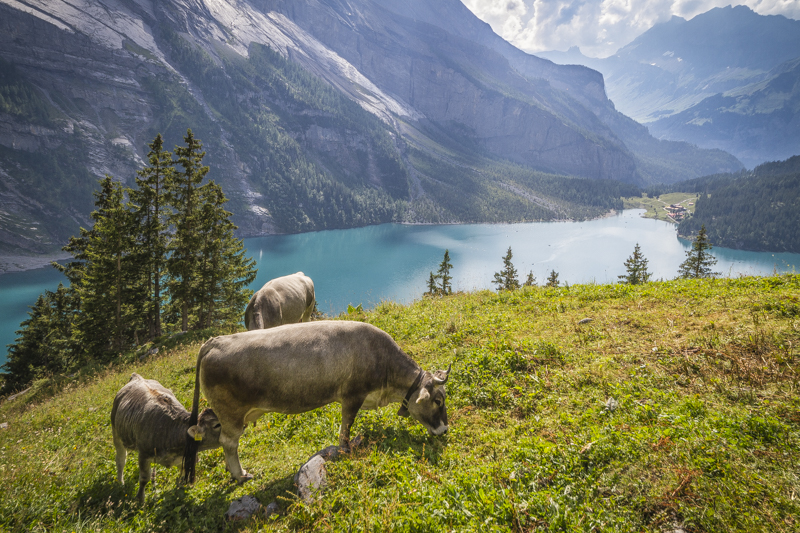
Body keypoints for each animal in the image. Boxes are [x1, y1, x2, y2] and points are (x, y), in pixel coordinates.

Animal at [184, 320, 454, 482]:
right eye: (438, 400)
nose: (444, 430)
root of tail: (215, 341)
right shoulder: (352, 396)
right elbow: (346, 427)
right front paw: (345, 449)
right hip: (230, 414)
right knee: (228, 443)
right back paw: (241, 475)